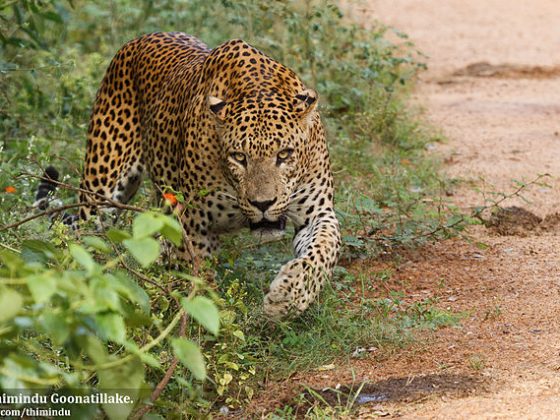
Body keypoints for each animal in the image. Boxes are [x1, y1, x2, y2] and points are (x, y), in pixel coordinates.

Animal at [75, 31, 336, 316]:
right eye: (239, 157)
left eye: (285, 154)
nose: (263, 204)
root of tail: (140, 38)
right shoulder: (194, 224)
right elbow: (198, 279)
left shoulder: (317, 213)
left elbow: (324, 250)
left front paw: (288, 296)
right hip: (99, 189)